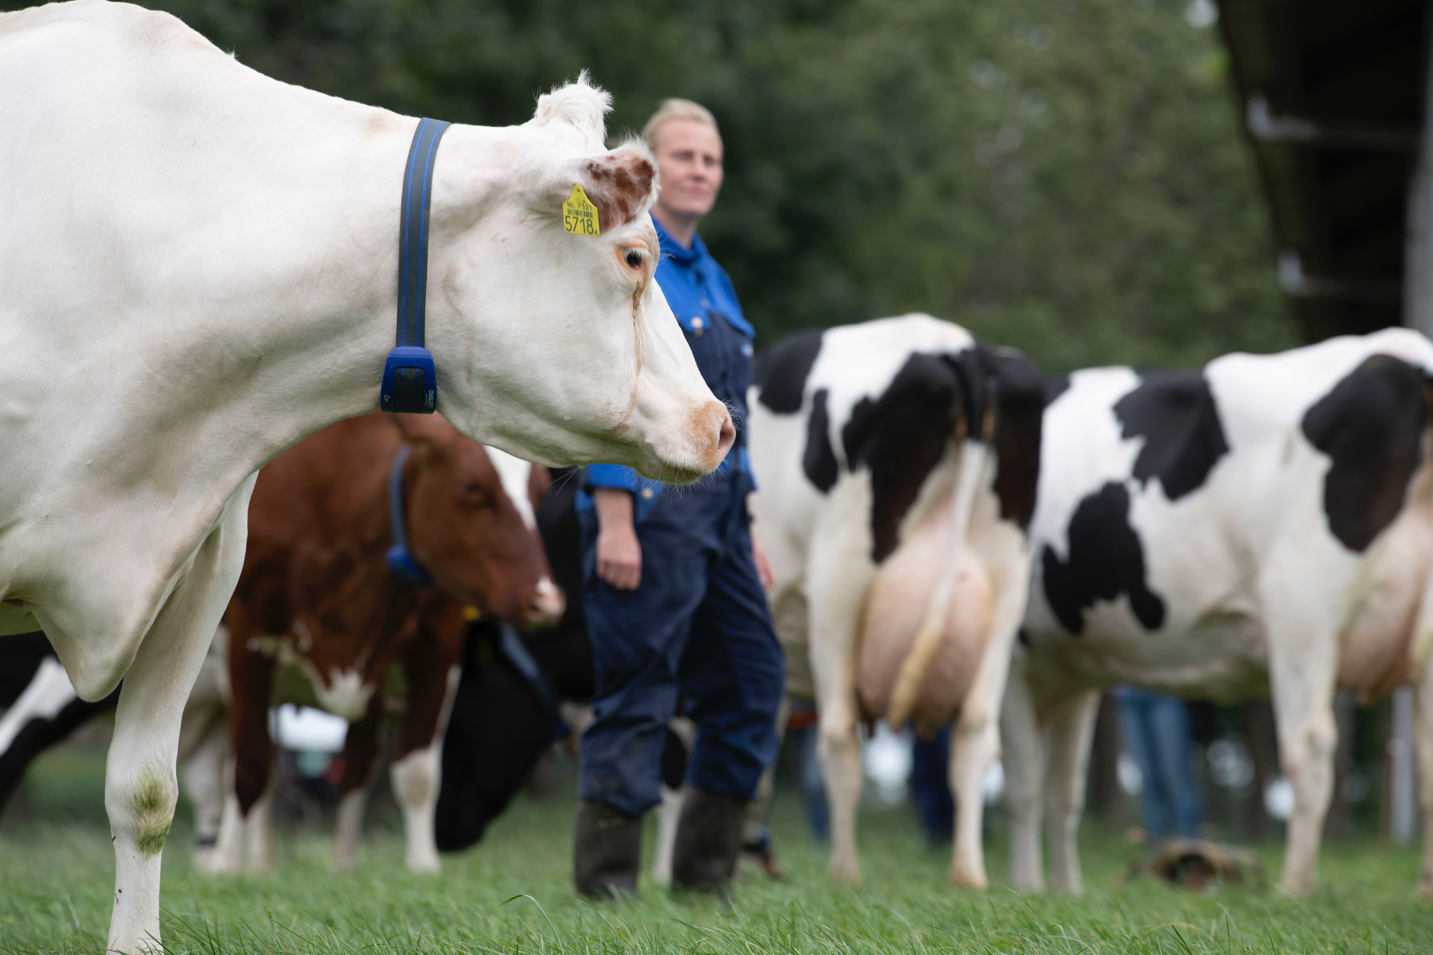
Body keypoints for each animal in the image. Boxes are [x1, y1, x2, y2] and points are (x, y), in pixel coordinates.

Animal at [750, 314, 1043, 883]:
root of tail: (960, 347)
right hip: (1006, 590)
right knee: (974, 737)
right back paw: (967, 875)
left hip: (839, 582)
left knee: (838, 737)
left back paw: (845, 874)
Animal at [1008, 325, 1433, 894]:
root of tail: (1402, 350)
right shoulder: (1072, 672)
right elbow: (1061, 792)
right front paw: (1066, 891)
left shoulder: (1012, 657)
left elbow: (1022, 784)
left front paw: (1021, 885)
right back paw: (1424, 888)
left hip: (1301, 611)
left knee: (1309, 748)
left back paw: (1293, 889)